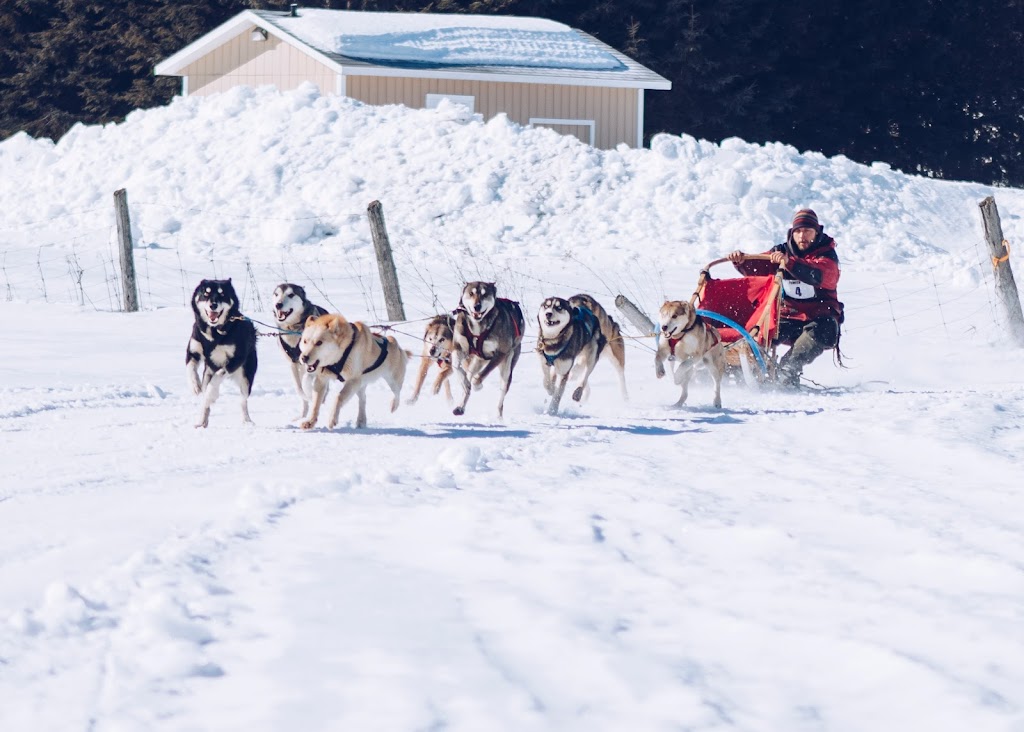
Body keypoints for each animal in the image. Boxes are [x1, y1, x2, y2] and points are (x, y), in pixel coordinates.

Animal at [185, 280, 258, 429]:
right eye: (206, 293)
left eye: (222, 293)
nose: (213, 305)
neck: (215, 333)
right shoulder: (193, 351)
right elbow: (190, 368)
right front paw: (195, 385)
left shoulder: (235, 360)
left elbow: (218, 377)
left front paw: (211, 393)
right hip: (207, 373)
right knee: (205, 400)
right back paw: (202, 420)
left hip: (246, 377)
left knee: (243, 401)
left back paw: (247, 421)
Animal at [270, 282, 325, 417]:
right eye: (276, 294)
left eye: (291, 295)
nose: (278, 304)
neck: (292, 328)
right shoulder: (293, 364)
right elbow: (298, 387)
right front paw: (306, 396)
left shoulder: (313, 365)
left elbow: (306, 381)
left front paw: (310, 394)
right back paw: (302, 415)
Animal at [452, 280, 524, 417]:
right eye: (471, 293)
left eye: (485, 295)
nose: (477, 306)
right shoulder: (459, 347)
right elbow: (456, 366)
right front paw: (465, 383)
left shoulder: (500, 353)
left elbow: (480, 376)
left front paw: (477, 385)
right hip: (477, 362)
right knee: (469, 375)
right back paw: (460, 406)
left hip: (507, 367)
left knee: (501, 395)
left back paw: (498, 416)